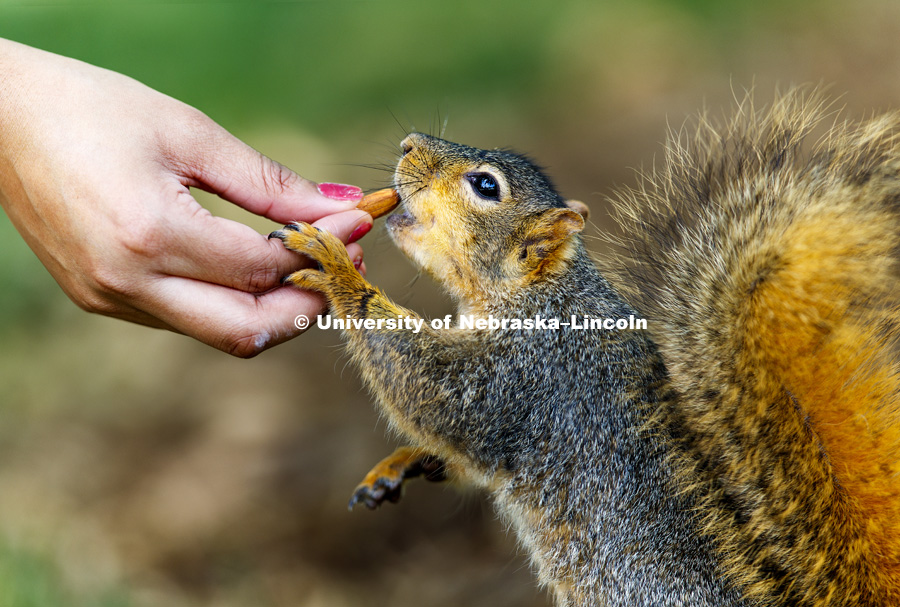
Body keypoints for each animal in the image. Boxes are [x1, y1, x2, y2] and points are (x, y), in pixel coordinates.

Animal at [268, 91, 900, 607]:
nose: (408, 144)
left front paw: (338, 271)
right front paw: (400, 464)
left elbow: (437, 393)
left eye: (486, 186)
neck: (542, 295)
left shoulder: (529, 373)